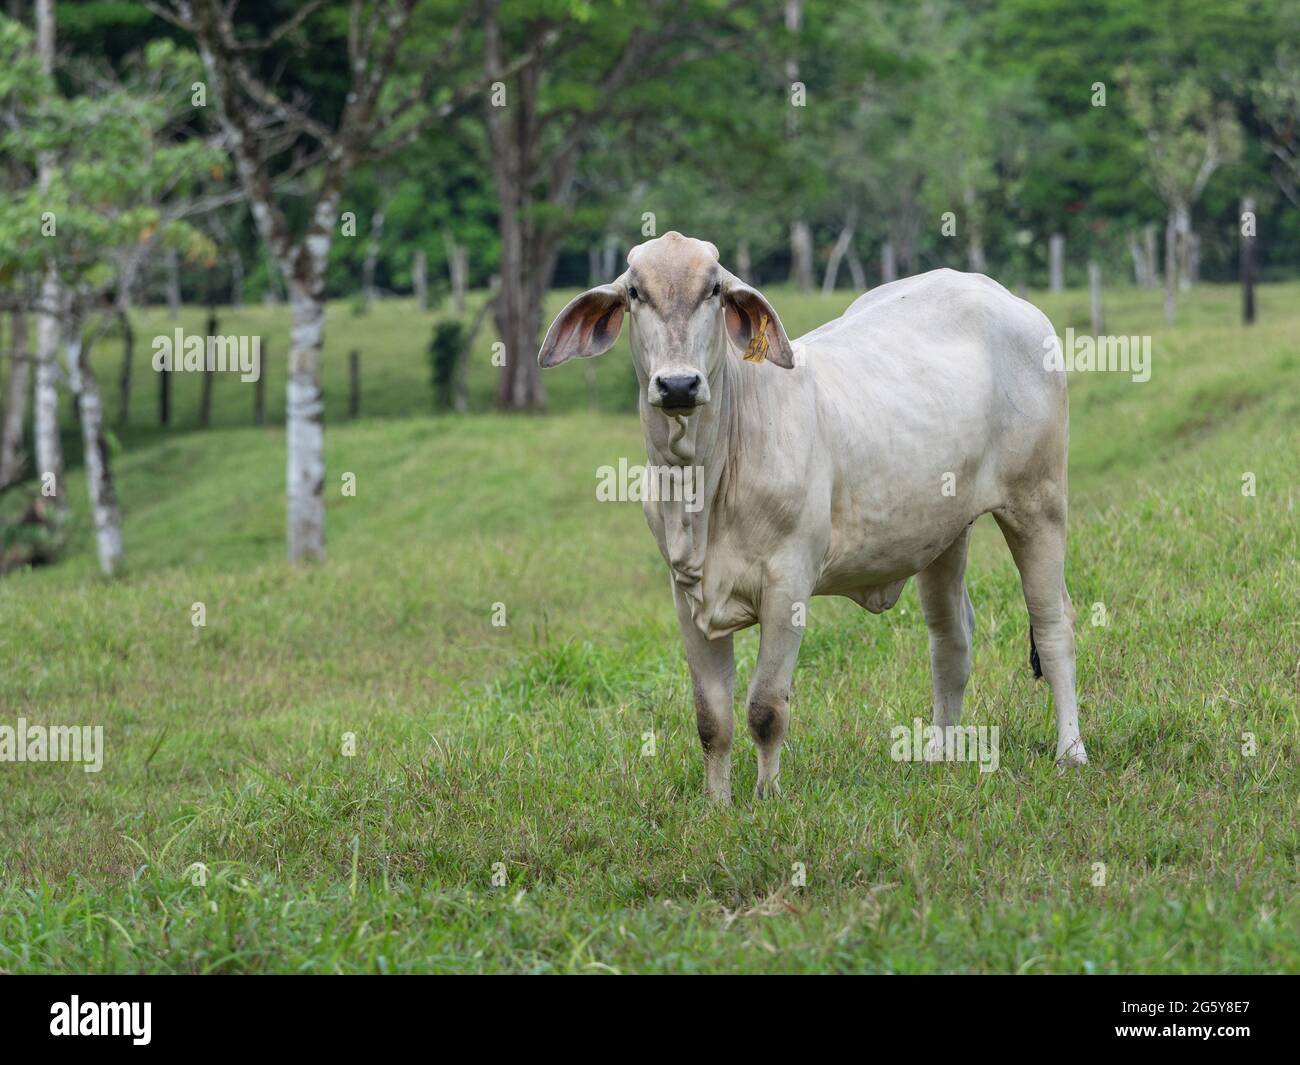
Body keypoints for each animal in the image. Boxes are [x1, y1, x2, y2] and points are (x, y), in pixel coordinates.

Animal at [538, 231, 1086, 801]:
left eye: (714, 289)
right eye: (635, 292)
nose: (679, 385)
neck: (701, 486)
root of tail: (1003, 296)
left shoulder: (789, 585)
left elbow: (765, 709)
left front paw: (767, 798)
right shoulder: (686, 596)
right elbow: (712, 719)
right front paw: (717, 804)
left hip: (1038, 502)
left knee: (1054, 626)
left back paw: (1070, 752)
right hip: (944, 534)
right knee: (951, 640)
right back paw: (940, 754)